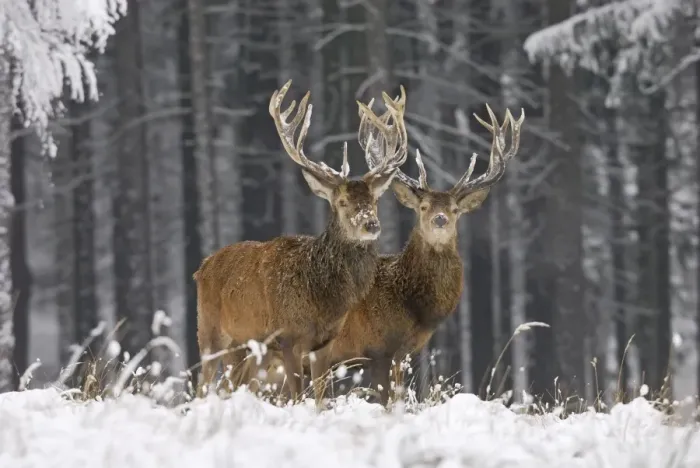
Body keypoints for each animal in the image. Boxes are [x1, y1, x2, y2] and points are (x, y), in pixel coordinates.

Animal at [193, 80, 409, 400]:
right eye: (342, 201)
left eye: (374, 200)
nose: (371, 224)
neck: (320, 296)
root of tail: (201, 268)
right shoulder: (288, 338)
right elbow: (297, 395)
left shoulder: (324, 344)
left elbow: (320, 397)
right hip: (211, 333)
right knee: (204, 385)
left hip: (250, 350)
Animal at [305, 102, 524, 407]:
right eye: (423, 207)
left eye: (455, 210)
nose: (440, 220)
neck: (410, 306)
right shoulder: (376, 348)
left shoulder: (405, 353)